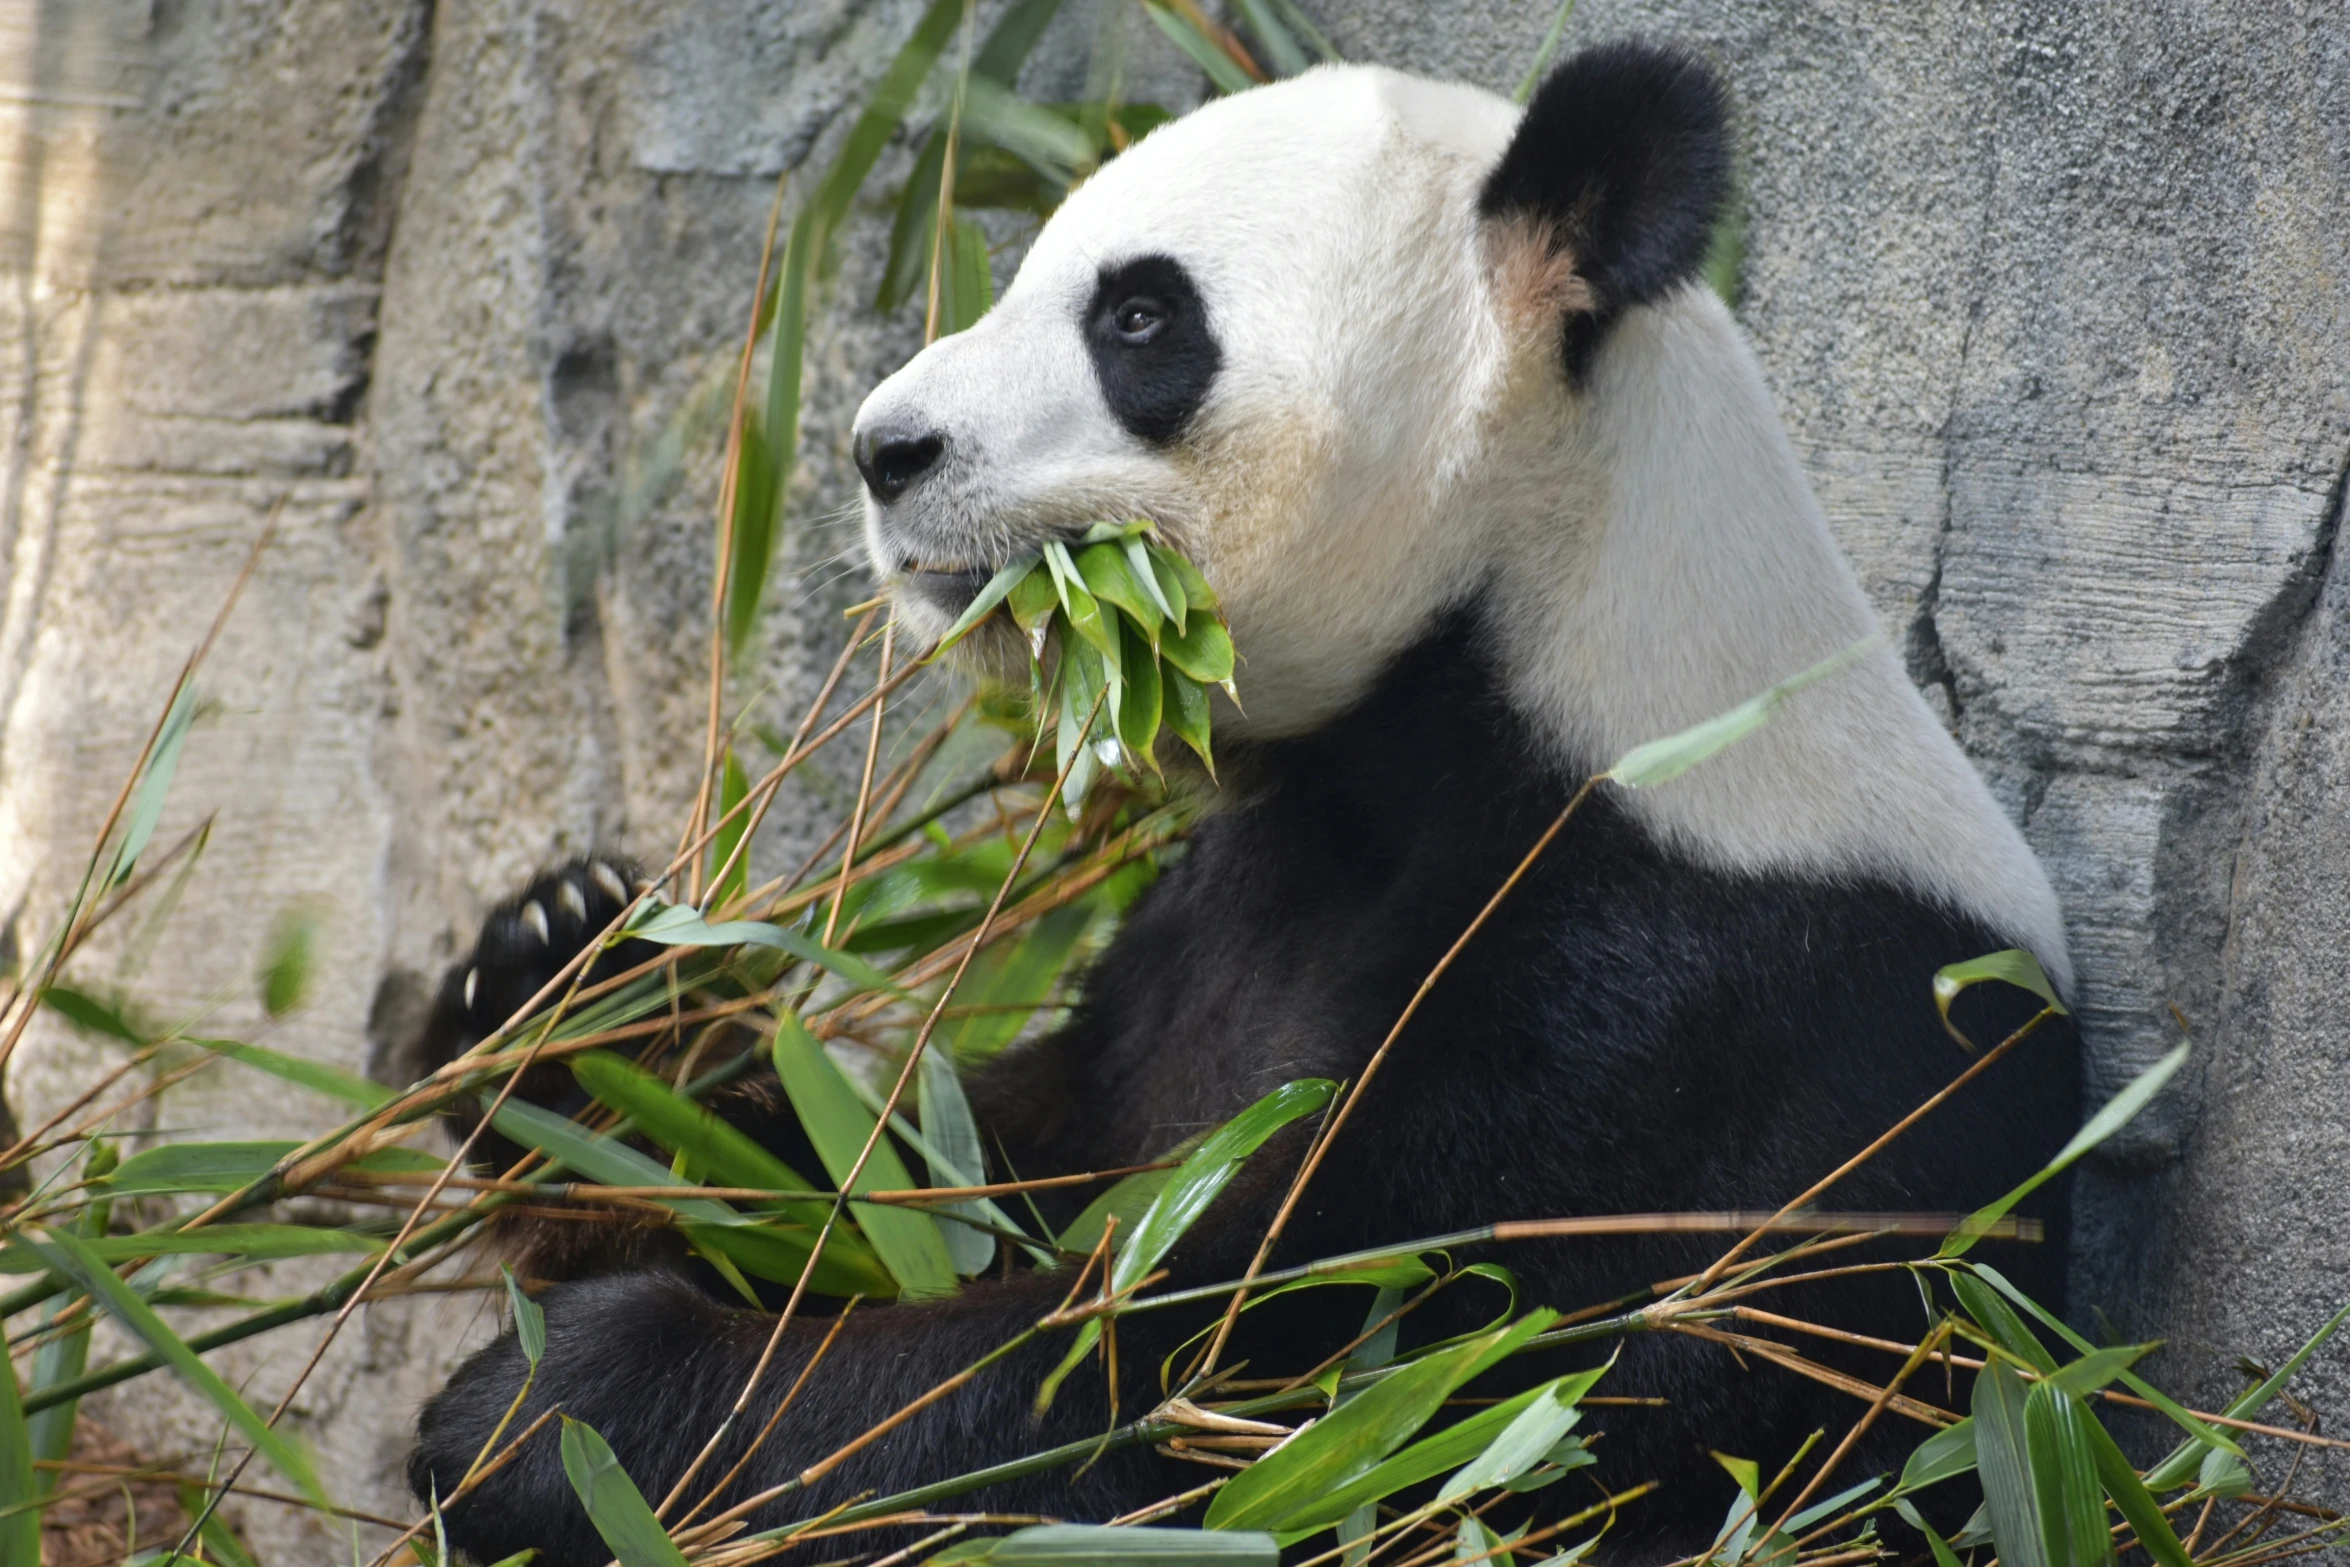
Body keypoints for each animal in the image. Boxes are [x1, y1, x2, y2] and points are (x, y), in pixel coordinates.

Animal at [413, 42, 2086, 1559]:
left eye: (1139, 315)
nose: (883, 449)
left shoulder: (1662, 1010)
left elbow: (1266, 1391)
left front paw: (561, 1404)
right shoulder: (1199, 922)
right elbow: (947, 1158)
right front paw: (571, 989)